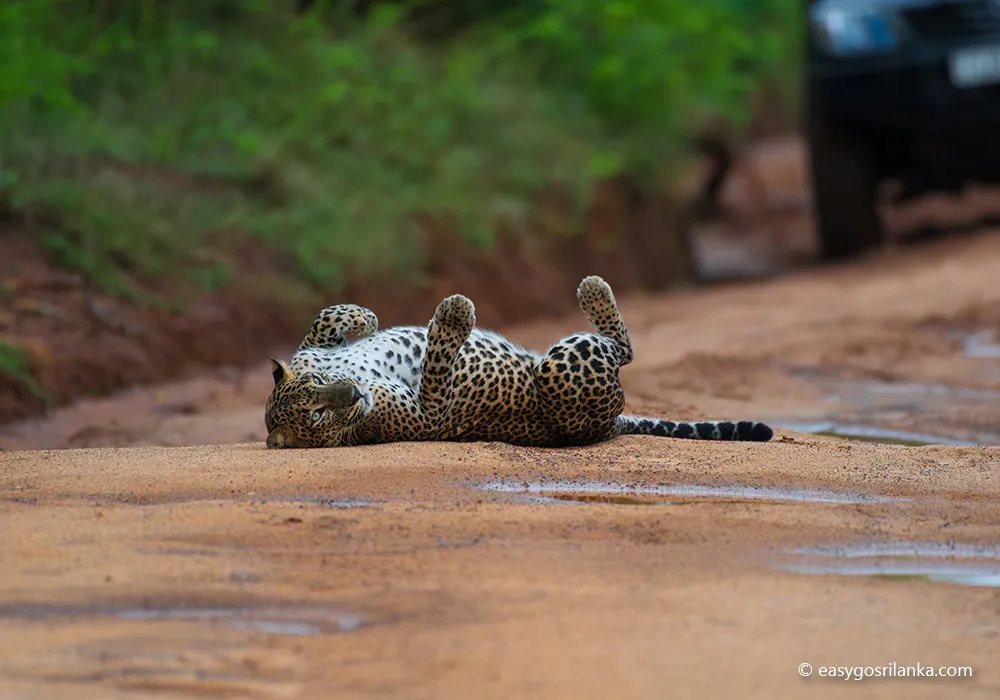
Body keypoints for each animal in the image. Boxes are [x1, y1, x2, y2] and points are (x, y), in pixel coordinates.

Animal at [264, 275, 773, 449]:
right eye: (316, 416)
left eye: (321, 384)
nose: (352, 393)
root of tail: (607, 425)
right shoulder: (429, 419)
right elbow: (437, 364)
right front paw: (453, 316)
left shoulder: (310, 348)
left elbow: (324, 317)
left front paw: (364, 317)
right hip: (561, 371)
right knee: (623, 352)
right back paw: (594, 291)